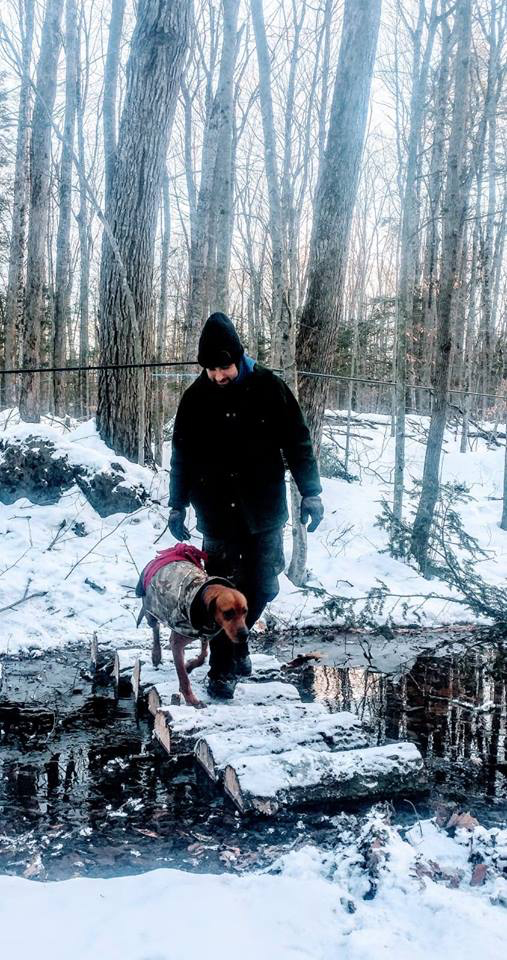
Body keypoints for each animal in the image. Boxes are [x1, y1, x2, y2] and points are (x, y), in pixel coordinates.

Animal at [145, 580, 248, 708]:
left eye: (245, 611)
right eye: (228, 613)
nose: (245, 635)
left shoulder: (205, 636)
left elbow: (203, 655)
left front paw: (189, 666)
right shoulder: (177, 643)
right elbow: (183, 678)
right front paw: (191, 700)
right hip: (151, 613)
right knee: (156, 627)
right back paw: (156, 654)